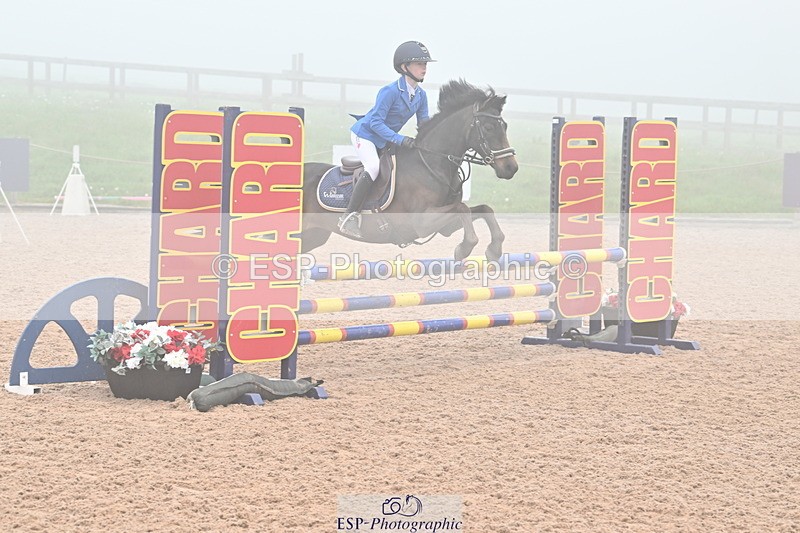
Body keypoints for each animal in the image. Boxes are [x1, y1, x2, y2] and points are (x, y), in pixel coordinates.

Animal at [301, 79, 519, 262]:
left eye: (506, 126)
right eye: (489, 127)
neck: (432, 165)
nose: (511, 168)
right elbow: (463, 208)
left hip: (313, 236)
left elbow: (484, 209)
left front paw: (494, 250)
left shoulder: (445, 227)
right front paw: (464, 248)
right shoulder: (421, 222)